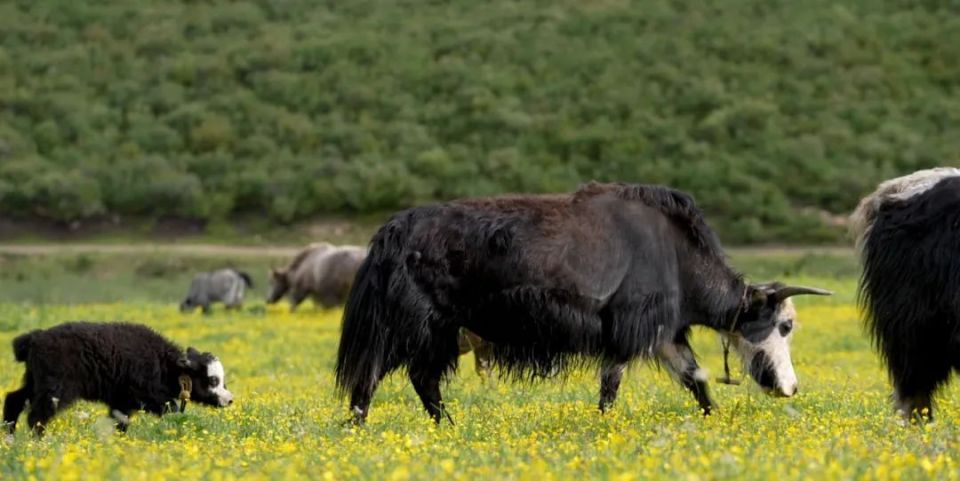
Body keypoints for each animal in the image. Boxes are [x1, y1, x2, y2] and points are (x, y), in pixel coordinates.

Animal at [2, 320, 232, 436]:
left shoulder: (122, 401)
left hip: (34, 382)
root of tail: (34, 338)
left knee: (13, 399)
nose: (229, 399)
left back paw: (10, 439)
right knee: (36, 416)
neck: (163, 363)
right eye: (212, 380)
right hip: (55, 389)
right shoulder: (146, 397)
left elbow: (120, 421)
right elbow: (172, 410)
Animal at [334, 181, 828, 424]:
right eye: (784, 326)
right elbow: (611, 384)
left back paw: (446, 429)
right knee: (378, 373)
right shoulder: (628, 327)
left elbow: (695, 378)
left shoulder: (664, 332)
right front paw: (602, 426)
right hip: (416, 322)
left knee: (418, 378)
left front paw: (714, 419)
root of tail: (392, 231)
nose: (791, 388)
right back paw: (361, 428)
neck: (676, 254)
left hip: (440, 329)